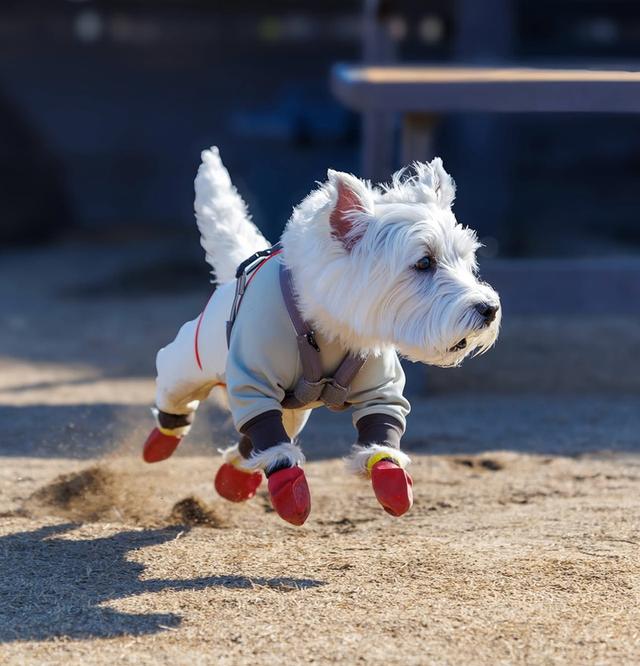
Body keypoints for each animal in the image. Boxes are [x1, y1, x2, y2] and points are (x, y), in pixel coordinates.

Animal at [142, 147, 502, 524]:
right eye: (423, 262)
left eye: (466, 258)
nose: (489, 308)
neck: (329, 328)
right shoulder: (253, 379)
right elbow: (270, 435)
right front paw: (290, 491)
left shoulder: (380, 385)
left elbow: (382, 428)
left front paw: (391, 480)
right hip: (193, 361)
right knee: (173, 383)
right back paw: (162, 440)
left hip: (293, 411)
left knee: (254, 439)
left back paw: (233, 480)